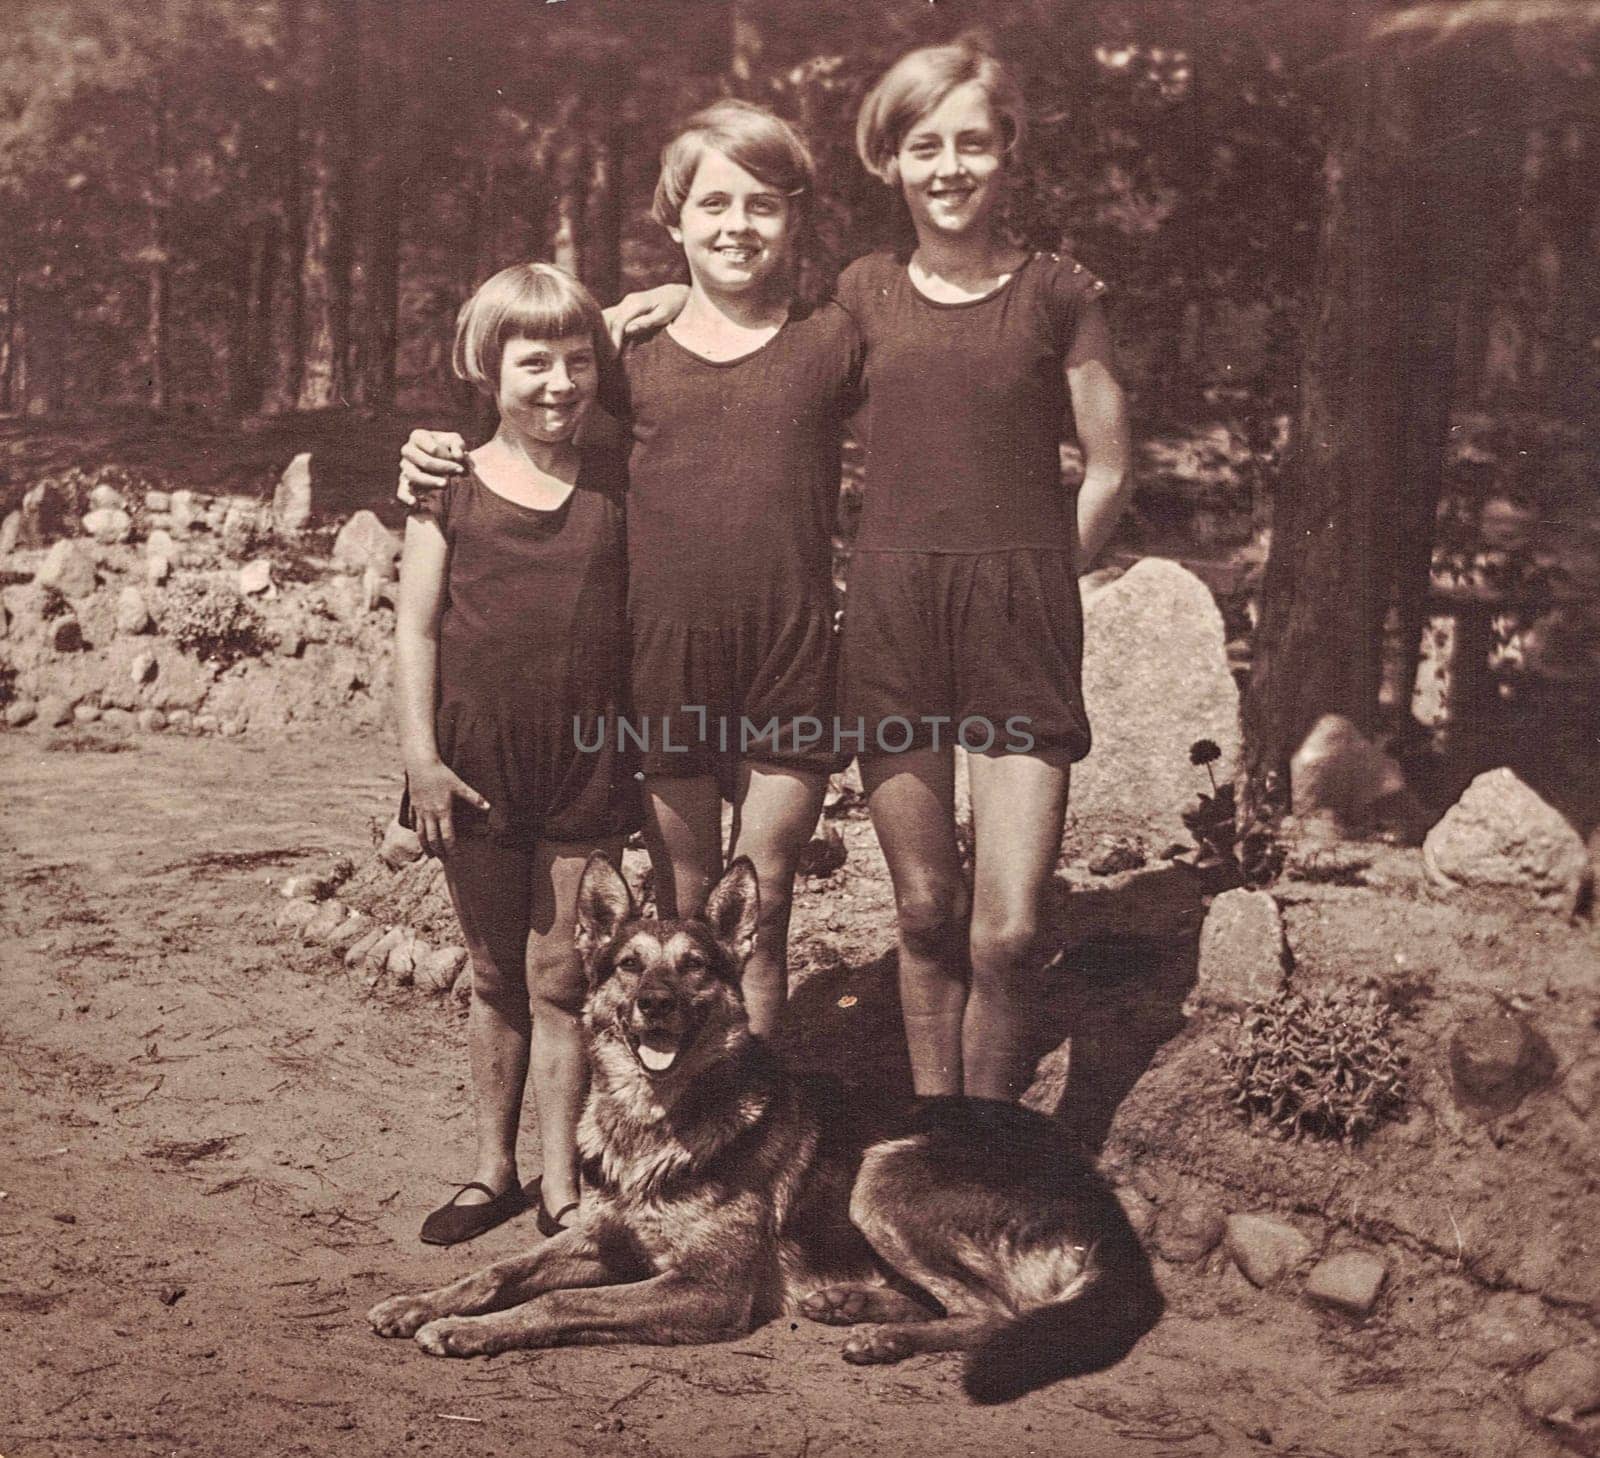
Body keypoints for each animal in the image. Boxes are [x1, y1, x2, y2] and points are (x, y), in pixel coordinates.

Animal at [366, 857, 1164, 1401]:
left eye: (695, 966)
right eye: (628, 965)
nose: (655, 1004)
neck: (654, 1122)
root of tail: (1101, 1193)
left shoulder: (706, 1291)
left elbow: (559, 1302)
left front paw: (468, 1332)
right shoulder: (600, 1239)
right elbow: (497, 1271)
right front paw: (421, 1303)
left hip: (883, 1172)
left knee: (998, 1312)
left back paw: (885, 1335)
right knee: (958, 1300)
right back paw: (852, 1304)